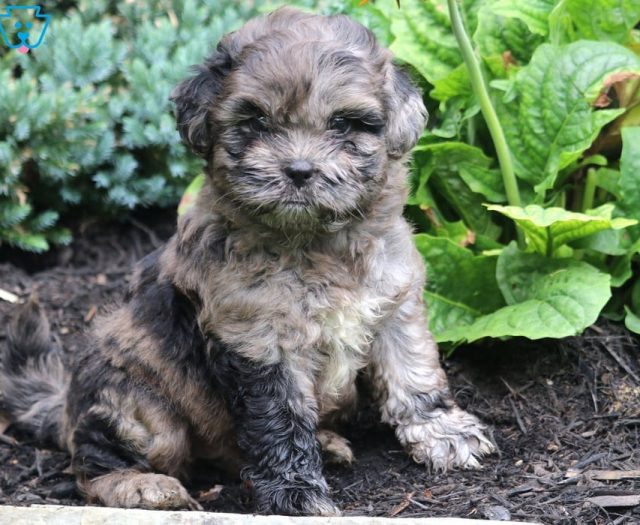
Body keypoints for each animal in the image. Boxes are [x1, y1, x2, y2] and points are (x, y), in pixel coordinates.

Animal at [0, 7, 496, 516]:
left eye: (343, 124)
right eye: (255, 121)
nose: (299, 171)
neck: (315, 245)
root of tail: (65, 405)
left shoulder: (395, 303)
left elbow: (413, 372)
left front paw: (444, 432)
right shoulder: (257, 339)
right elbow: (279, 419)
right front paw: (295, 493)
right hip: (138, 407)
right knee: (94, 463)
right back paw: (144, 487)